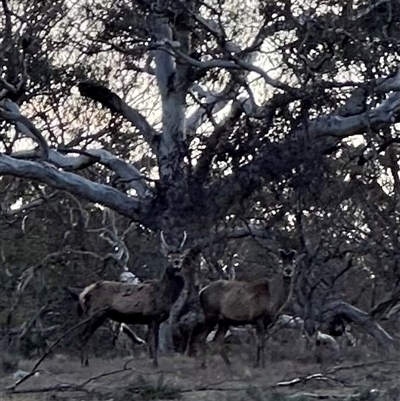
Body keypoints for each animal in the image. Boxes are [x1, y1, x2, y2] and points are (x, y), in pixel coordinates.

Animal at [76, 231, 186, 366]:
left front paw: (153, 361)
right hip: (96, 313)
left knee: (83, 334)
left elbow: (152, 343)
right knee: (83, 334)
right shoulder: (152, 316)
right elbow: (153, 343)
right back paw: (84, 362)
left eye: (181, 257)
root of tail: (83, 293)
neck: (164, 295)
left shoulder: (154, 320)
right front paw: (155, 364)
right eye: (169, 257)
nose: (177, 262)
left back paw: (84, 361)